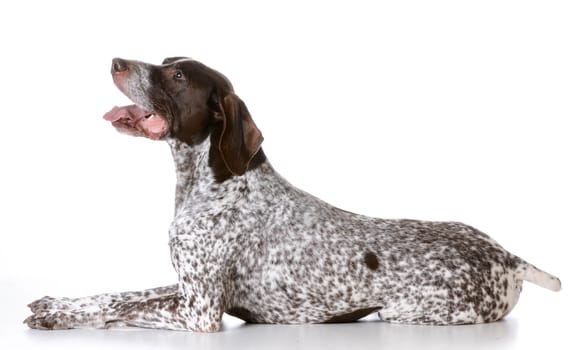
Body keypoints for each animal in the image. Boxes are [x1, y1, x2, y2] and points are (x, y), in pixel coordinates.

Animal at [25, 56, 560, 330]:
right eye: (163, 62)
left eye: (176, 76)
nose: (117, 61)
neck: (213, 186)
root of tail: (508, 256)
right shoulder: (187, 288)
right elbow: (117, 295)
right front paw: (56, 304)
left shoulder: (198, 311)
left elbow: (126, 308)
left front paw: (59, 318)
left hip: (409, 311)